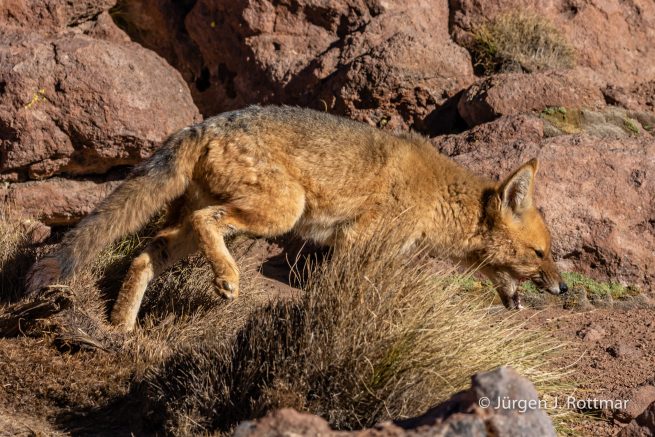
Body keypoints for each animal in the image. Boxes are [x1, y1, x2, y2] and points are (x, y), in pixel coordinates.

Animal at [27, 105, 568, 332]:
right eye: (540, 254)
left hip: (200, 228)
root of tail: (202, 124)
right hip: (281, 212)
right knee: (207, 220)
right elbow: (341, 292)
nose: (562, 288)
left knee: (145, 253)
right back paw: (227, 279)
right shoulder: (355, 242)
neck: (438, 197)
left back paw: (120, 331)